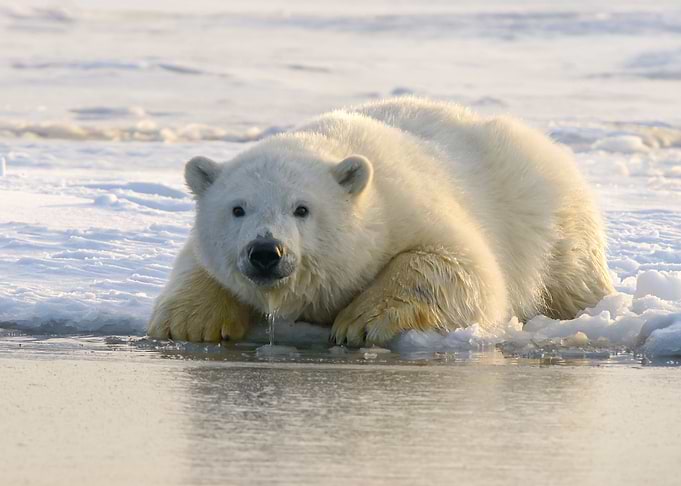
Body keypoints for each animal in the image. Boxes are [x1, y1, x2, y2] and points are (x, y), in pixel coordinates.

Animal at [148, 97, 614, 346]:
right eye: (238, 208)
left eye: (302, 208)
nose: (266, 252)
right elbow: (196, 264)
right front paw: (190, 323)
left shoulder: (410, 207)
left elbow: (461, 267)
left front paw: (359, 323)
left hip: (550, 218)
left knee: (572, 277)